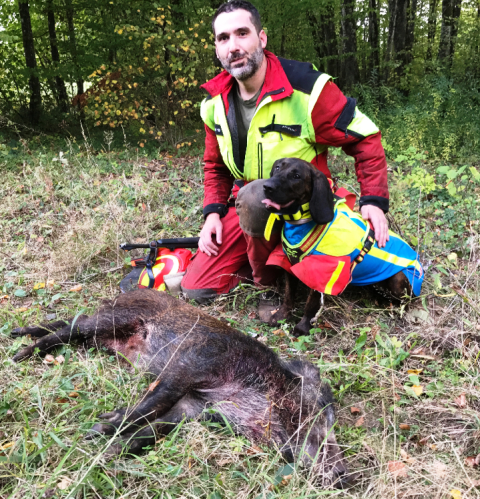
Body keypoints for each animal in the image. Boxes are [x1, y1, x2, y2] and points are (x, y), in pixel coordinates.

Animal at [11, 290, 348, 488]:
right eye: (323, 412)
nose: (343, 475)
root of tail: (124, 293)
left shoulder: (193, 408)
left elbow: (153, 429)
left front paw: (110, 453)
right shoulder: (187, 367)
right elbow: (149, 406)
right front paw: (96, 431)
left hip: (99, 334)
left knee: (67, 322)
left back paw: (17, 332)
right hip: (114, 319)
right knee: (68, 329)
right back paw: (19, 354)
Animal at [262, 158, 424, 338]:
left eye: (296, 176)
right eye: (277, 167)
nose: (266, 186)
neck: (302, 223)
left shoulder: (323, 272)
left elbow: (311, 304)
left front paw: (303, 327)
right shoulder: (291, 265)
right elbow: (288, 296)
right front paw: (281, 315)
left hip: (398, 281)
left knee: (406, 301)